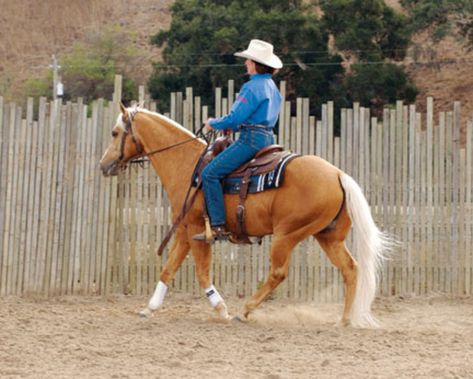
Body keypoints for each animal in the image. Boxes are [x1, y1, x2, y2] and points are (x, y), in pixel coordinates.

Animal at [99, 104, 390, 330]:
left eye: (115, 133)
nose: (104, 165)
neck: (188, 165)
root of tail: (338, 175)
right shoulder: (183, 231)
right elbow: (168, 269)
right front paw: (149, 308)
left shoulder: (197, 230)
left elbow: (202, 273)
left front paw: (221, 309)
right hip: (328, 237)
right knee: (350, 269)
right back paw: (343, 320)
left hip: (287, 234)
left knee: (278, 273)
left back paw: (245, 310)